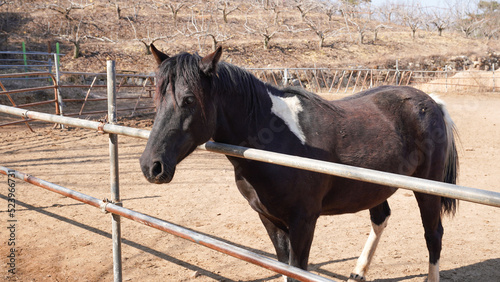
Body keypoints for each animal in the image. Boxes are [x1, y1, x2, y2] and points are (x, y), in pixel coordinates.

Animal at [138, 45, 458, 280]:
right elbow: (284, 269)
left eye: (189, 100)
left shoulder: (303, 222)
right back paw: (358, 272)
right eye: (157, 97)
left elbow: (298, 270)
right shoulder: (270, 220)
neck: (273, 141)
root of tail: (431, 102)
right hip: (374, 188)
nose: (151, 166)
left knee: (434, 235)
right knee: (381, 219)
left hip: (427, 189)